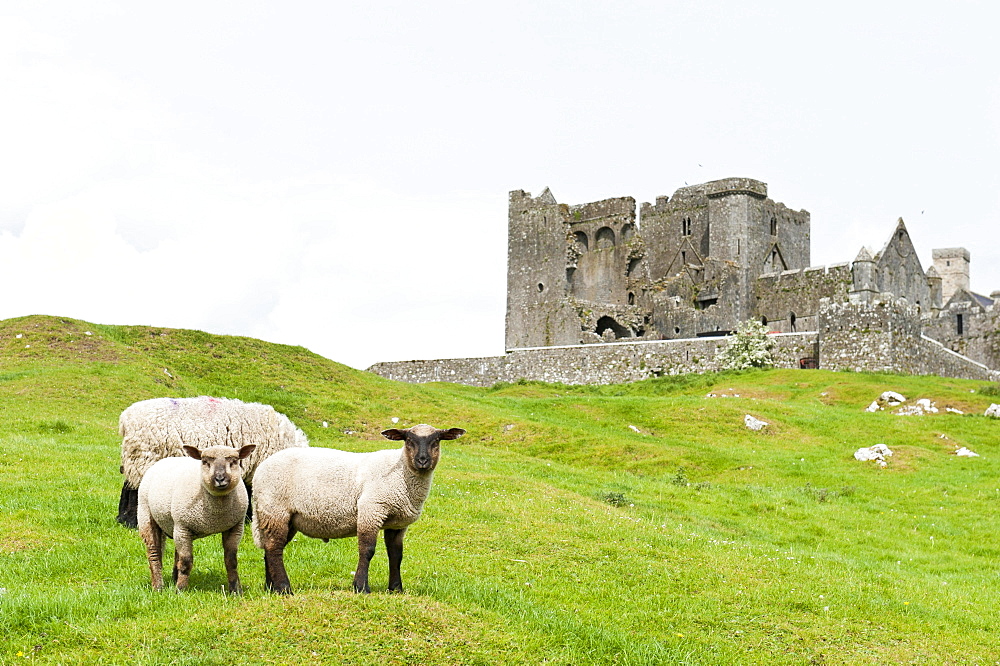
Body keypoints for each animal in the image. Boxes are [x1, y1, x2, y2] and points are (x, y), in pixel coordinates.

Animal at [115, 394, 308, 528]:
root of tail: (125, 418)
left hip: (135, 458)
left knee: (127, 487)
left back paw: (122, 519)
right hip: (144, 457)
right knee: (134, 491)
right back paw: (132, 522)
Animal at [139, 444, 256, 588]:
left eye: (234, 462)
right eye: (205, 462)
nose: (220, 479)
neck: (216, 515)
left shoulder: (235, 527)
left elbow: (231, 560)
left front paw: (235, 589)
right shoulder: (183, 526)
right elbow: (186, 561)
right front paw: (181, 589)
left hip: (175, 526)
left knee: (177, 554)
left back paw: (174, 578)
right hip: (146, 515)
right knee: (154, 553)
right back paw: (158, 586)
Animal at [254, 420, 464, 592]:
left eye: (436, 440)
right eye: (408, 440)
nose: (422, 460)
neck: (402, 473)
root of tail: (260, 469)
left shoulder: (397, 524)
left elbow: (396, 555)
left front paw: (396, 589)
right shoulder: (371, 509)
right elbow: (367, 550)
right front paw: (361, 587)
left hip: (284, 517)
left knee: (269, 549)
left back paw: (270, 587)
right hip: (275, 509)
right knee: (274, 547)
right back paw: (283, 588)